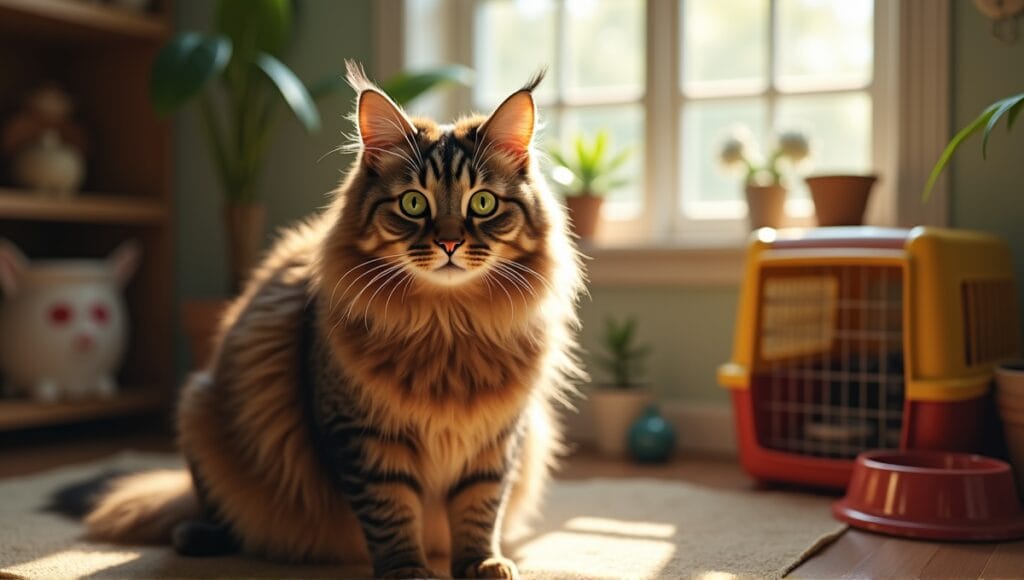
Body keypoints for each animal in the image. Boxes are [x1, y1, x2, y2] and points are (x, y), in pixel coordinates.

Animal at [73, 63, 585, 580]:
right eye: (413, 204)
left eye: (482, 204)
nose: (449, 243)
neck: (448, 325)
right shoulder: (365, 438)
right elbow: (391, 513)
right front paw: (407, 570)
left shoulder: (498, 438)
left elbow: (480, 507)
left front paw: (482, 563)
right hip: (202, 413)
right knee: (214, 514)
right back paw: (197, 536)